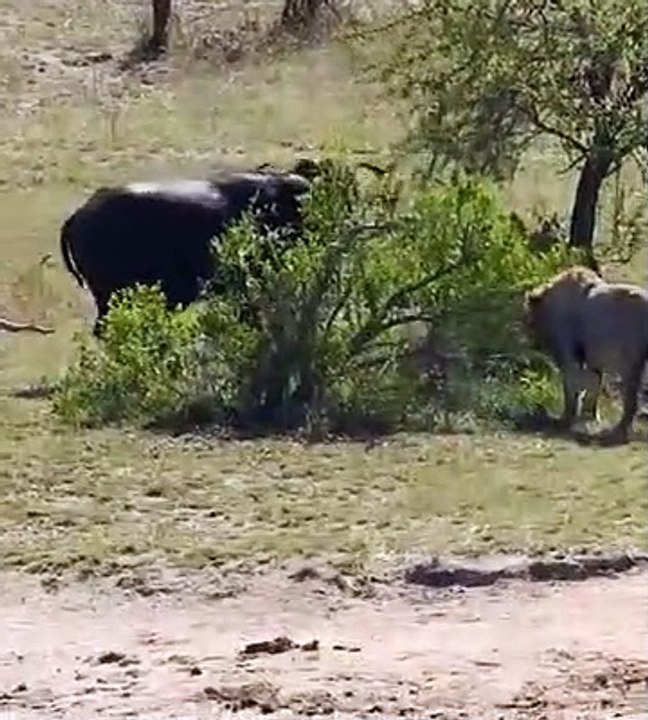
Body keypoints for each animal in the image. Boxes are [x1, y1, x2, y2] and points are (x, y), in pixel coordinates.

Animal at [523, 265, 648, 444]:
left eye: (529, 320)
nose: (532, 342)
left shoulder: (568, 349)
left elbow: (572, 383)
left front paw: (567, 417)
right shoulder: (591, 354)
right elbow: (594, 383)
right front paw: (591, 415)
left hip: (629, 357)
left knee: (631, 398)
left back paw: (618, 431)